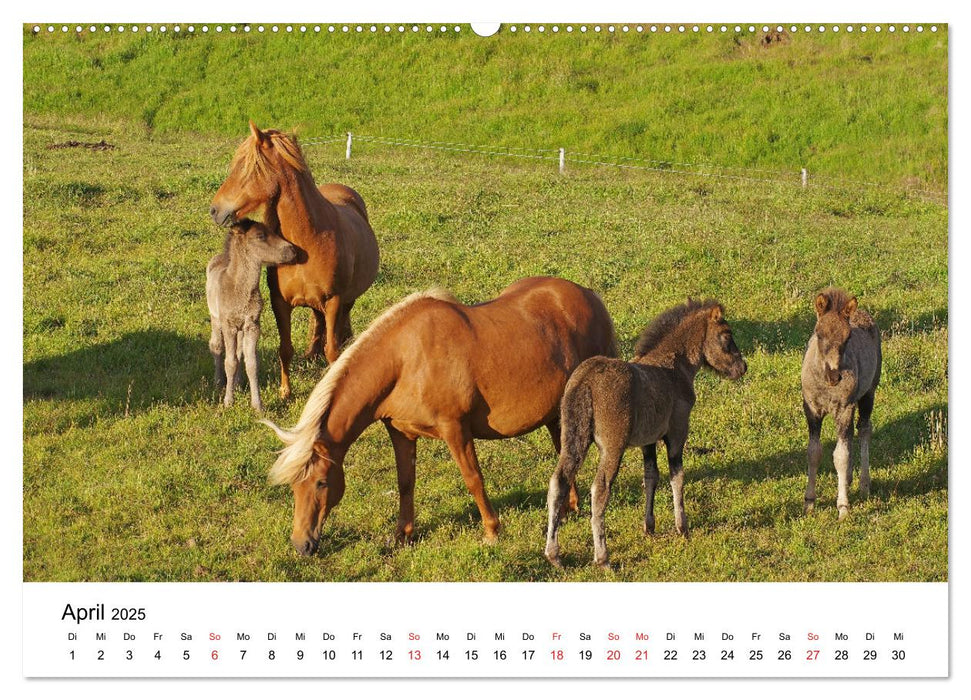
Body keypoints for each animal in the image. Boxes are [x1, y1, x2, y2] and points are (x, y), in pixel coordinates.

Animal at [211, 221, 302, 412]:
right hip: (216, 320)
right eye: (260, 236)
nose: (292, 250)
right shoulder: (229, 325)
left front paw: (257, 404)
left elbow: (251, 363)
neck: (240, 289)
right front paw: (228, 401)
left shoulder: (252, 325)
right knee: (216, 346)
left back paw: (238, 384)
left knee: (239, 352)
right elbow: (230, 362)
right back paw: (218, 382)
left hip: (240, 329)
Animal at [262, 276, 620, 556]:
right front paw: (402, 535)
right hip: (558, 414)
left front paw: (492, 531)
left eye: (321, 482)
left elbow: (473, 478)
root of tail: (589, 296)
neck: (405, 360)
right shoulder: (401, 432)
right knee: (566, 454)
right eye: (293, 487)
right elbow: (406, 482)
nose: (301, 545)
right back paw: (568, 508)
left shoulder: (455, 429)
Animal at [544, 298, 748, 568]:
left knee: (558, 483)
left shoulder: (648, 440)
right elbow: (676, 476)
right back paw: (603, 557)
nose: (742, 367)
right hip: (612, 447)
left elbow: (651, 476)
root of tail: (585, 382)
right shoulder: (677, 431)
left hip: (572, 439)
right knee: (599, 489)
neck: (676, 366)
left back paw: (554, 554)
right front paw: (682, 527)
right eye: (726, 335)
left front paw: (649, 526)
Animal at [800, 286, 884, 520]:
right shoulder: (811, 409)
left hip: (868, 393)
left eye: (848, 337)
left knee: (864, 429)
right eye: (819, 333)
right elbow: (814, 452)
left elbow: (840, 456)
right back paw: (847, 479)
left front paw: (843, 507)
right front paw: (809, 503)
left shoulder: (844, 408)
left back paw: (864, 484)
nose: (834, 376)